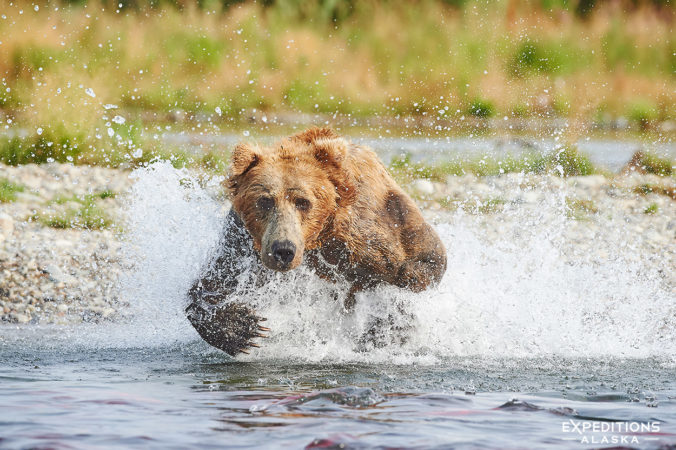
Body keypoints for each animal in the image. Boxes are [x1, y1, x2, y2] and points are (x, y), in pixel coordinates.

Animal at [187, 126, 446, 356]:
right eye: (265, 201)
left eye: (303, 201)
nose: (283, 250)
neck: (319, 237)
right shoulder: (243, 240)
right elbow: (214, 283)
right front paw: (243, 328)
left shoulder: (370, 238)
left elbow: (415, 272)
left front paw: (385, 330)